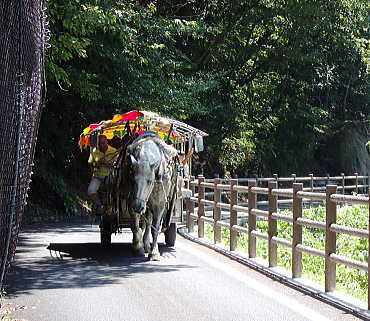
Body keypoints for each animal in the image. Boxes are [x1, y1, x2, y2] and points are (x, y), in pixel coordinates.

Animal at [123, 132, 178, 260]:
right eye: (133, 179)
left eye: (150, 181)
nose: (138, 206)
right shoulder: (131, 201)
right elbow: (135, 226)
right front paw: (137, 247)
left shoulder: (159, 204)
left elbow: (155, 228)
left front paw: (154, 253)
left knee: (149, 223)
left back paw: (148, 245)